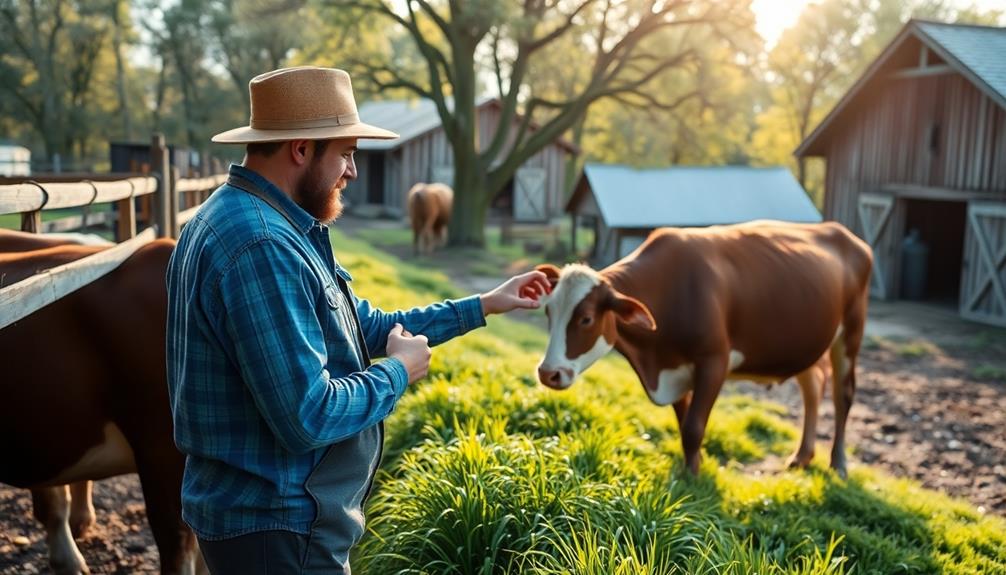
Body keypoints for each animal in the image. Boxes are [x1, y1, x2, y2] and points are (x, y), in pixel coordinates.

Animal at [535, 220, 873, 476]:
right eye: (548, 311)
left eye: (586, 319)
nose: (548, 373)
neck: (654, 359)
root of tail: (842, 233)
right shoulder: (674, 368)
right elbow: (683, 422)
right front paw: (691, 467)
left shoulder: (714, 361)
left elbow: (694, 427)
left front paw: (693, 478)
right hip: (805, 344)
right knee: (813, 387)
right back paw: (802, 455)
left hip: (851, 331)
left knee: (843, 396)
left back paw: (838, 463)